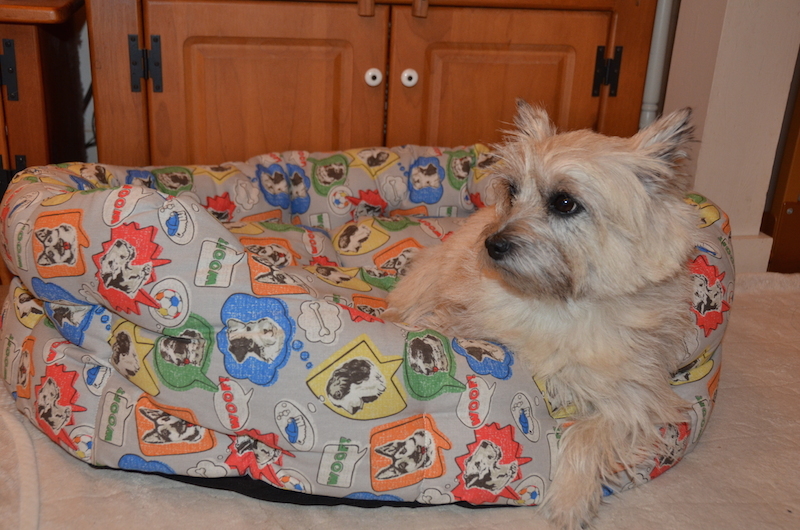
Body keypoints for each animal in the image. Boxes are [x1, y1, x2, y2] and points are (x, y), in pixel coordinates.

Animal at [386, 102, 701, 529]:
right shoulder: (464, 319)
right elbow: (441, 323)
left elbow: (585, 435)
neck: (558, 302)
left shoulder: (637, 400)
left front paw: (569, 501)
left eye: (565, 203)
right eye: (512, 191)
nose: (491, 244)